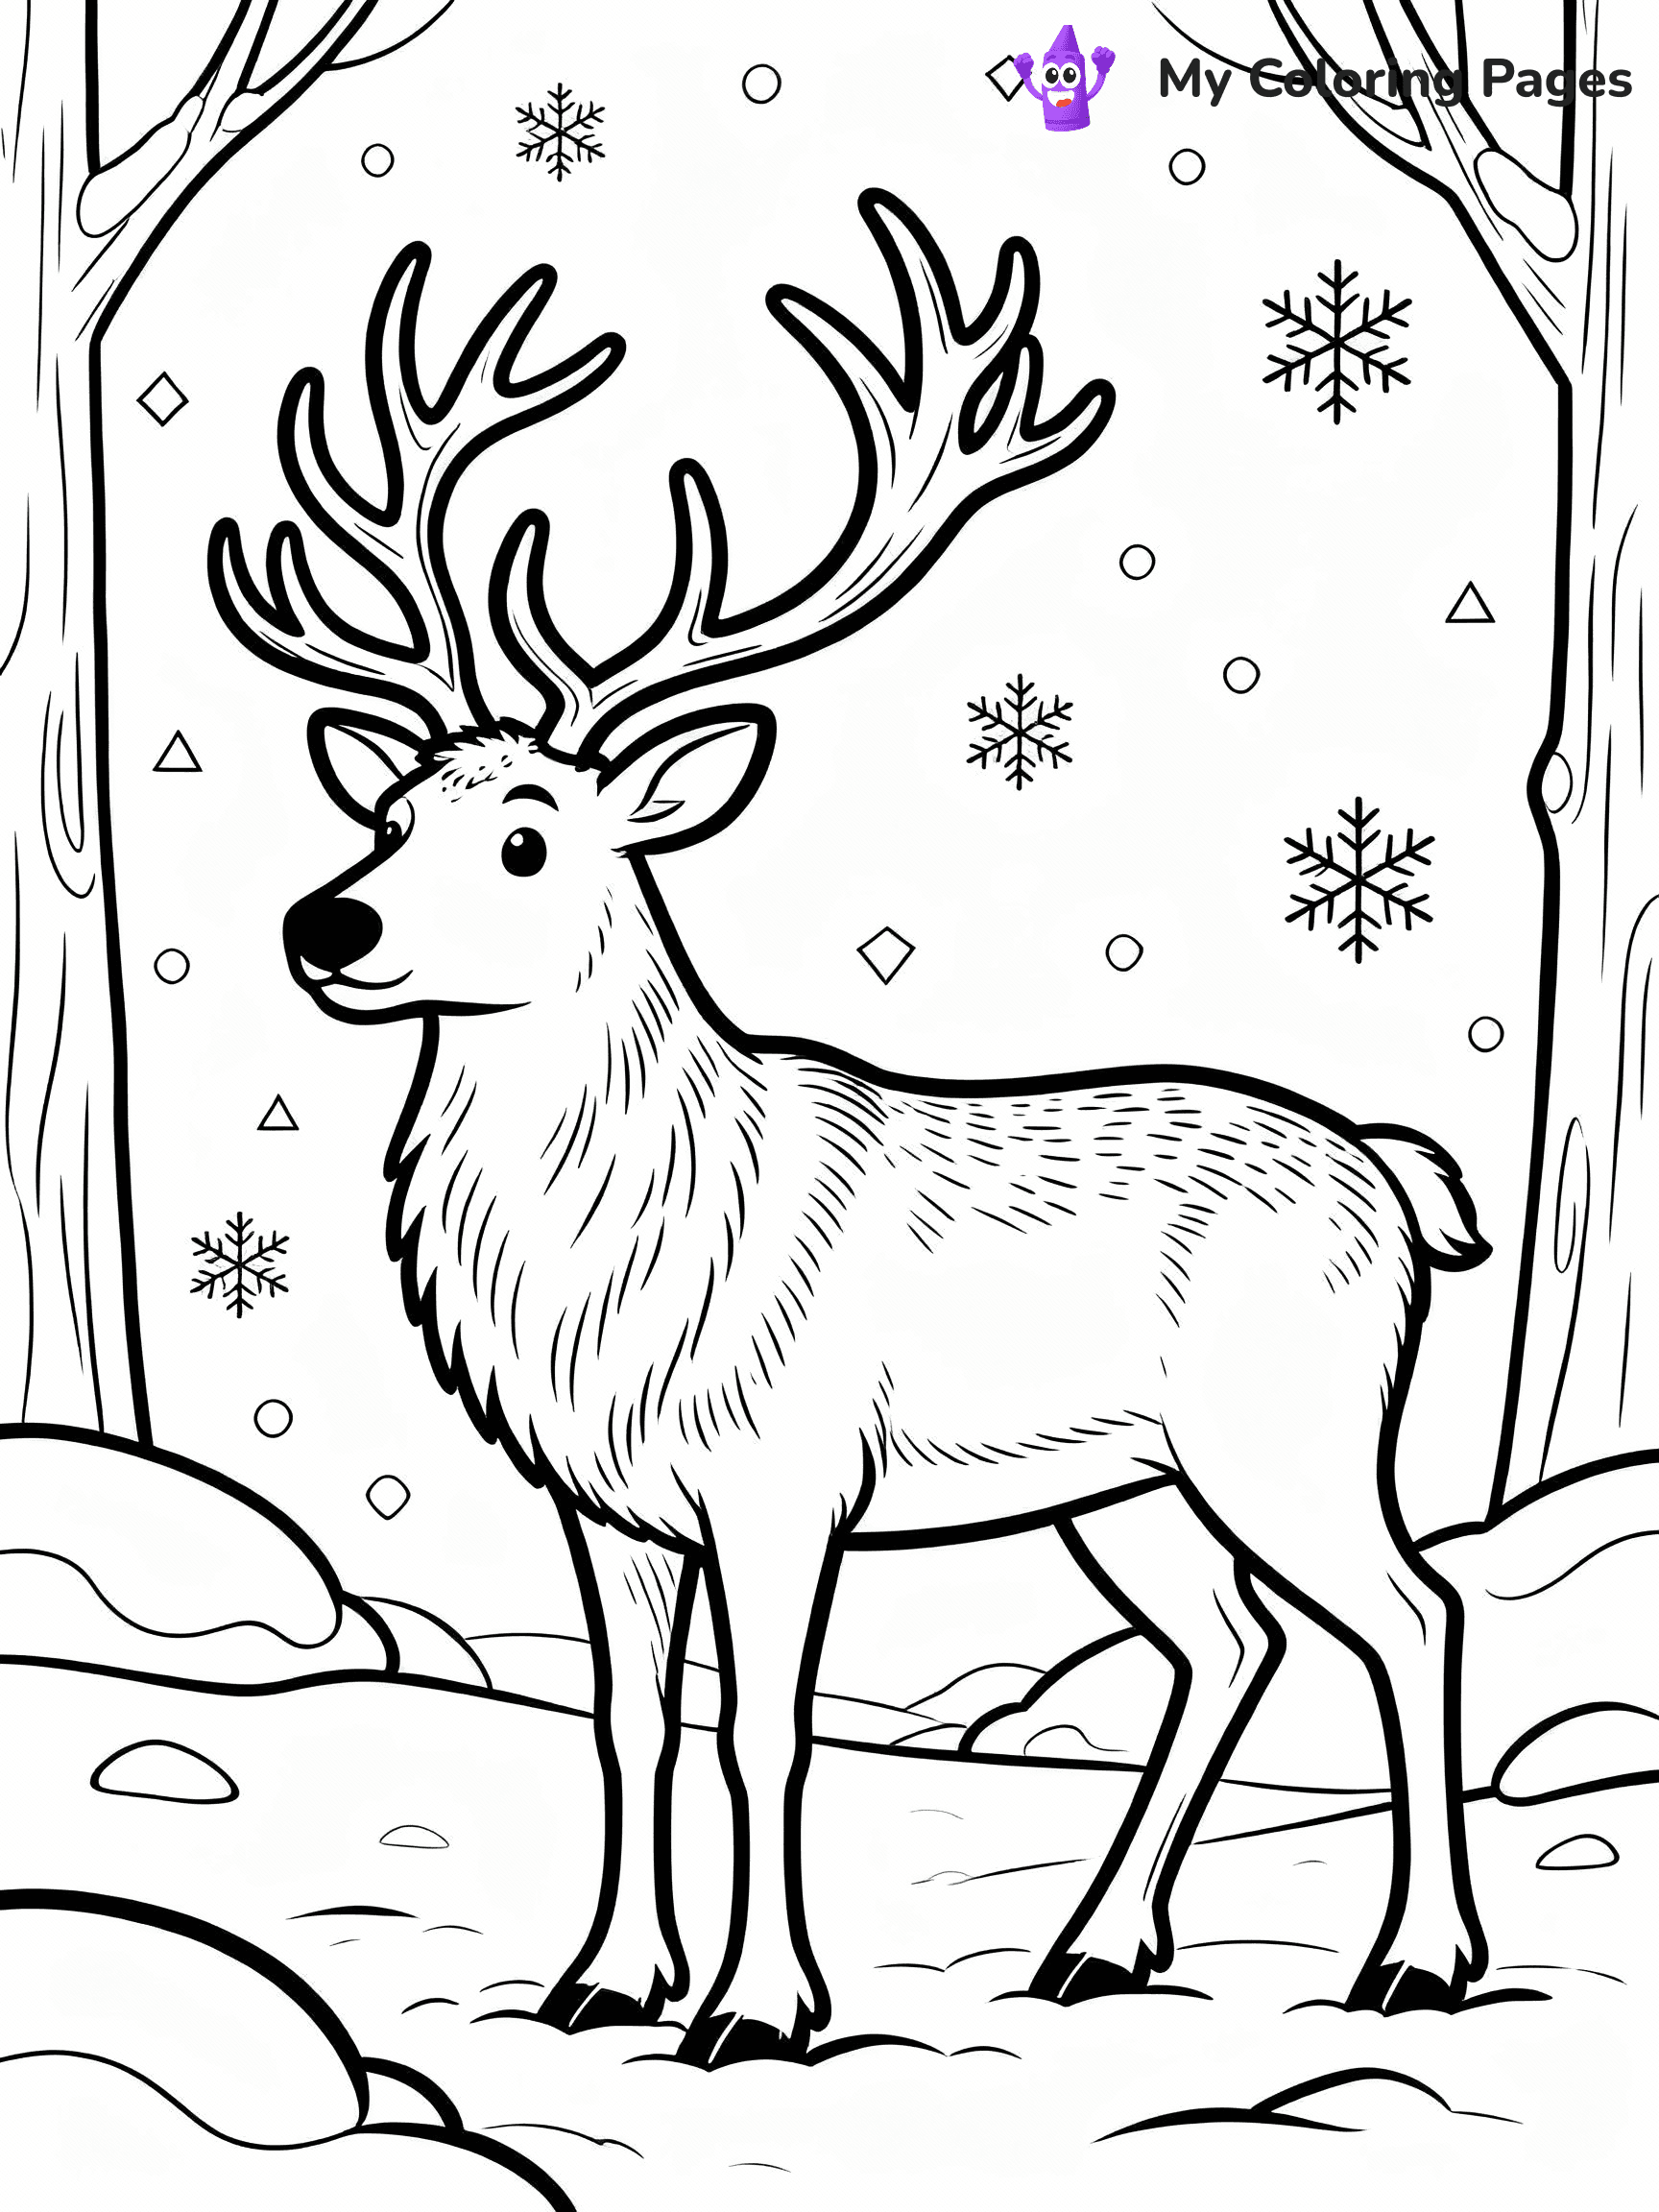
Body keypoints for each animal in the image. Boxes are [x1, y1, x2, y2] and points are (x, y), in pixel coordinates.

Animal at [211, 191, 1490, 2067]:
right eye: (390, 812)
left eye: (527, 839)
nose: (325, 926)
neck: (618, 1251)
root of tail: (1398, 1181)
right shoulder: (607, 1501)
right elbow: (627, 1721)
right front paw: (598, 1981)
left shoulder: (782, 1469)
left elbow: (765, 1731)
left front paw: (757, 2007)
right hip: (1123, 1481)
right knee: (1228, 1641)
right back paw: (1098, 1946)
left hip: (1292, 1421)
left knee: (1409, 1611)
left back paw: (1415, 1959)